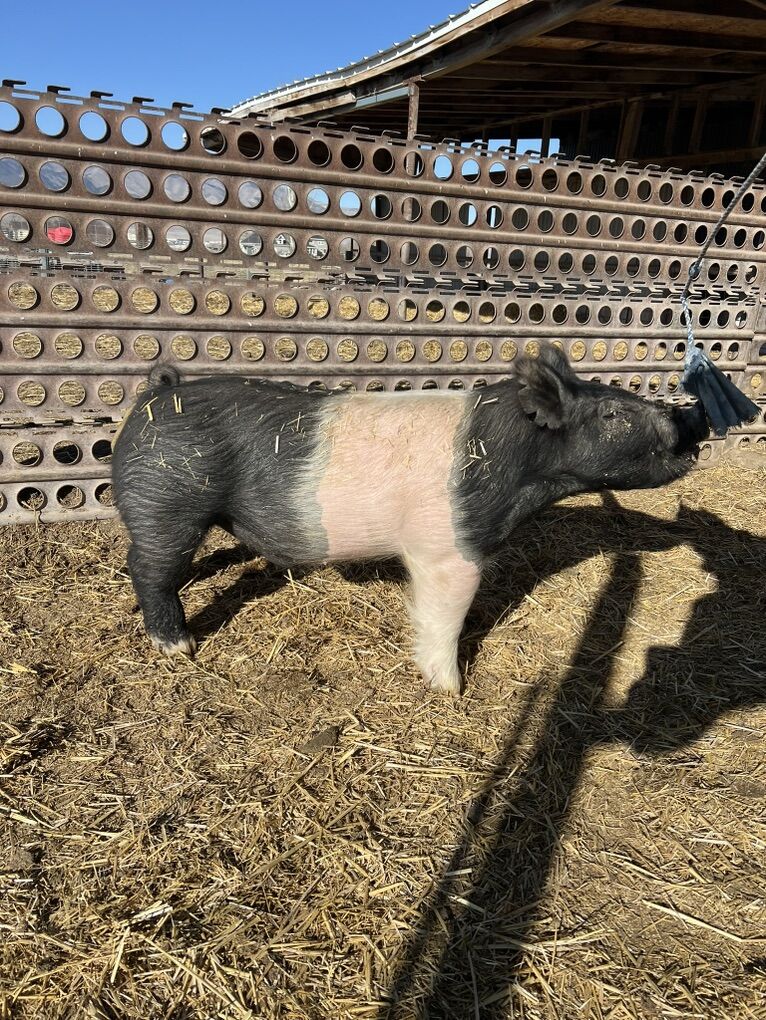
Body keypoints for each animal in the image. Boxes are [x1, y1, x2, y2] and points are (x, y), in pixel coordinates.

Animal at [112, 344, 709, 695]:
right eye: (612, 414)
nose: (689, 418)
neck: (524, 476)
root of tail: (158, 391)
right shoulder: (446, 549)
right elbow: (444, 615)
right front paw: (451, 690)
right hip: (165, 500)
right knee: (147, 568)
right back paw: (178, 648)